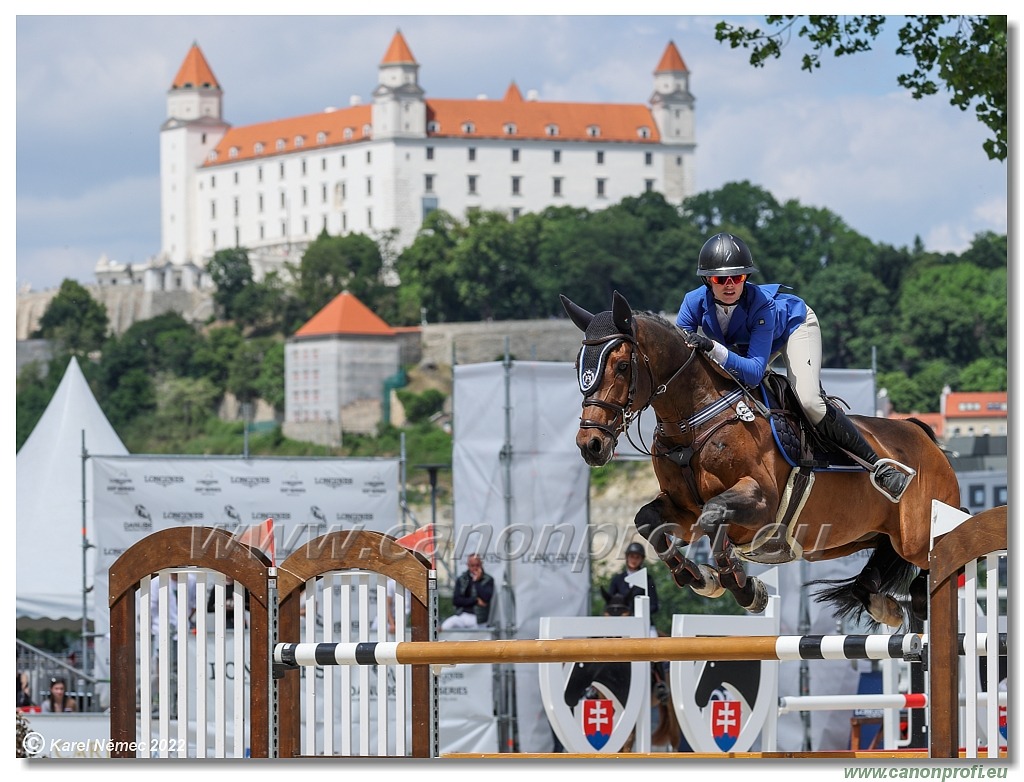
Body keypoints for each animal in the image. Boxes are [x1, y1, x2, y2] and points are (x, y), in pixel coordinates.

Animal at [565, 292, 962, 630]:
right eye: (578, 365)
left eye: (620, 366)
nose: (591, 444)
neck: (692, 423)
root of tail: (922, 436)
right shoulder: (682, 508)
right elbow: (649, 522)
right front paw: (700, 578)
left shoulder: (762, 502)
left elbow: (714, 516)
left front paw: (739, 585)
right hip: (857, 538)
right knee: (880, 565)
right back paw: (885, 604)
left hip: (916, 536)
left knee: (940, 552)